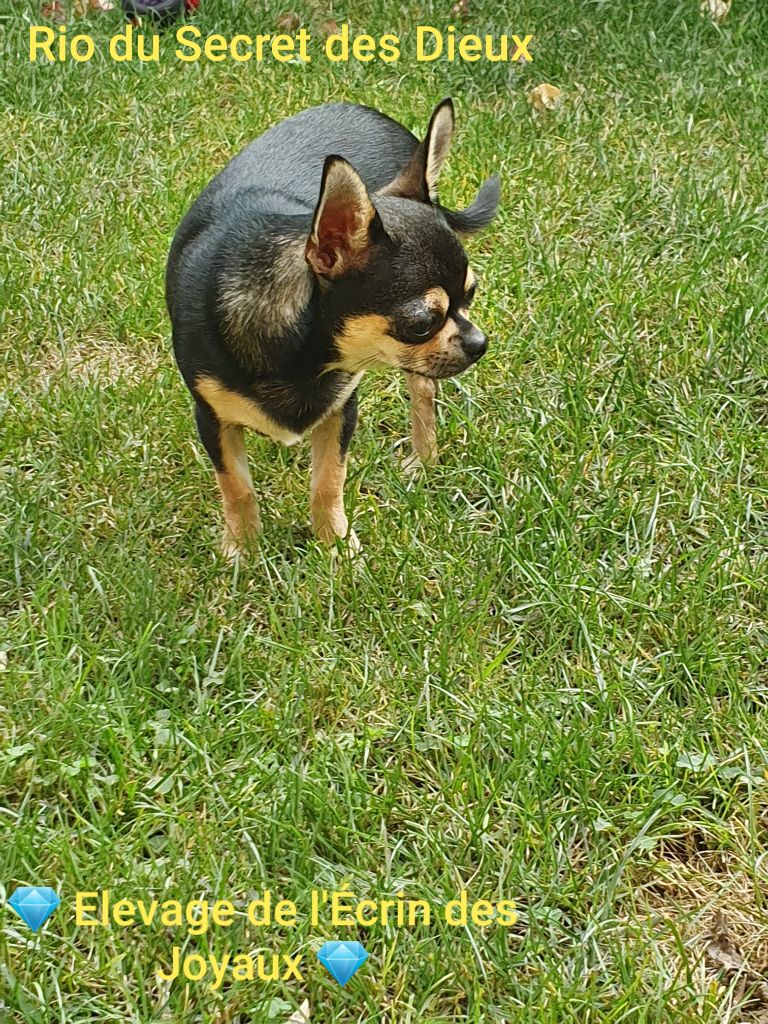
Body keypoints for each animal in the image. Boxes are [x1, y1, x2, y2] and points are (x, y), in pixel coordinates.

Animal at [165, 99, 501, 557]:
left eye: (471, 294)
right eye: (421, 322)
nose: (479, 343)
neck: (300, 356)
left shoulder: (342, 408)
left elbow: (328, 481)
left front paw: (336, 549)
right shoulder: (213, 417)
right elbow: (237, 487)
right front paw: (243, 550)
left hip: (418, 371)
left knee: (424, 393)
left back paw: (423, 458)